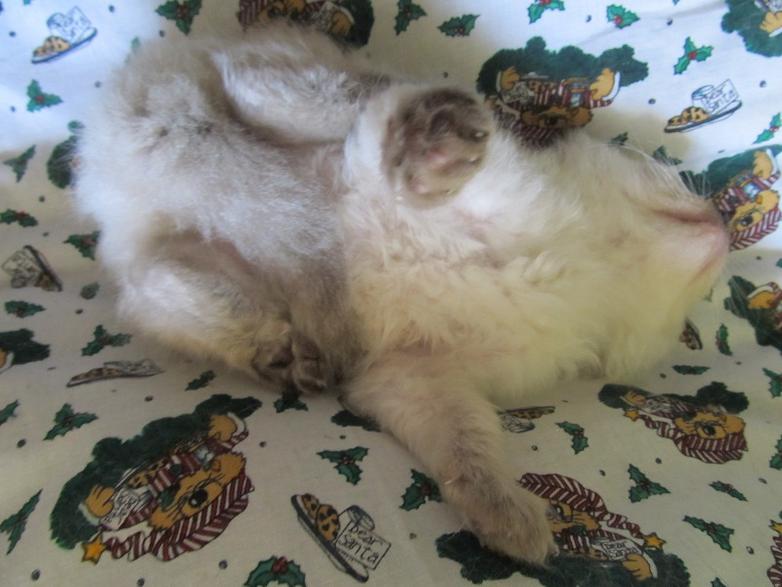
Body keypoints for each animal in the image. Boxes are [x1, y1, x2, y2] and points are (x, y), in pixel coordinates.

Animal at [75, 22, 728, 565]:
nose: (724, 226)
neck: (583, 267)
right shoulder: (474, 200)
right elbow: (416, 180)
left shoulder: (409, 378)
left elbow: (468, 449)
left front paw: (508, 524)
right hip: (291, 95)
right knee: (358, 101)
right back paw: (431, 132)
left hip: (189, 264)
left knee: (164, 288)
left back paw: (288, 358)